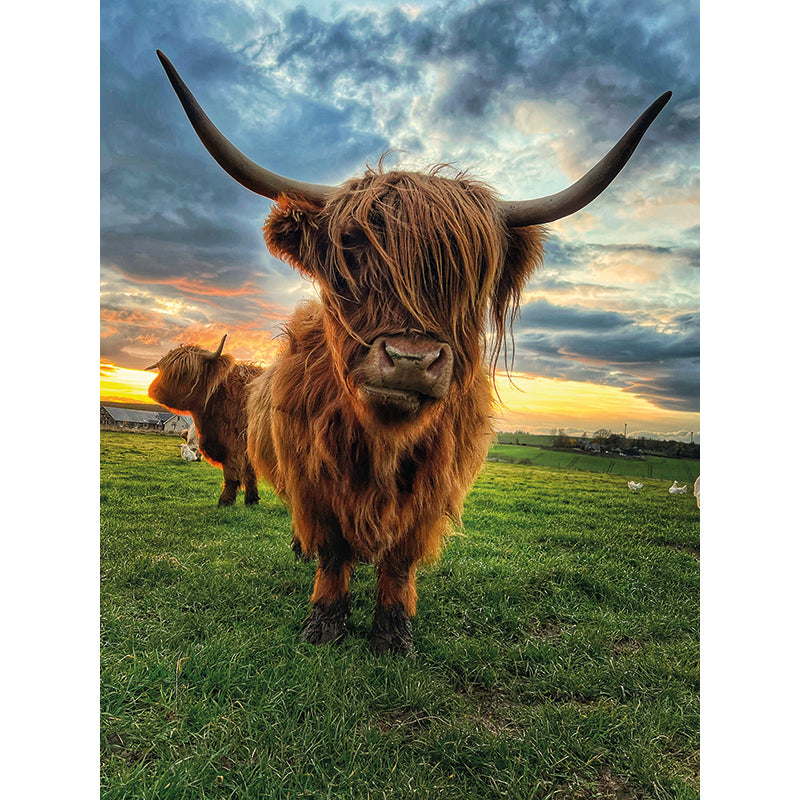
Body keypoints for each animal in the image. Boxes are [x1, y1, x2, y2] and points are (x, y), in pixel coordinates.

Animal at [146, 334, 264, 506]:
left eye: (184, 372)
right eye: (162, 368)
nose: (153, 390)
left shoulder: (235, 444)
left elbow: (232, 473)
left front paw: (225, 501)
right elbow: (249, 473)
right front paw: (252, 499)